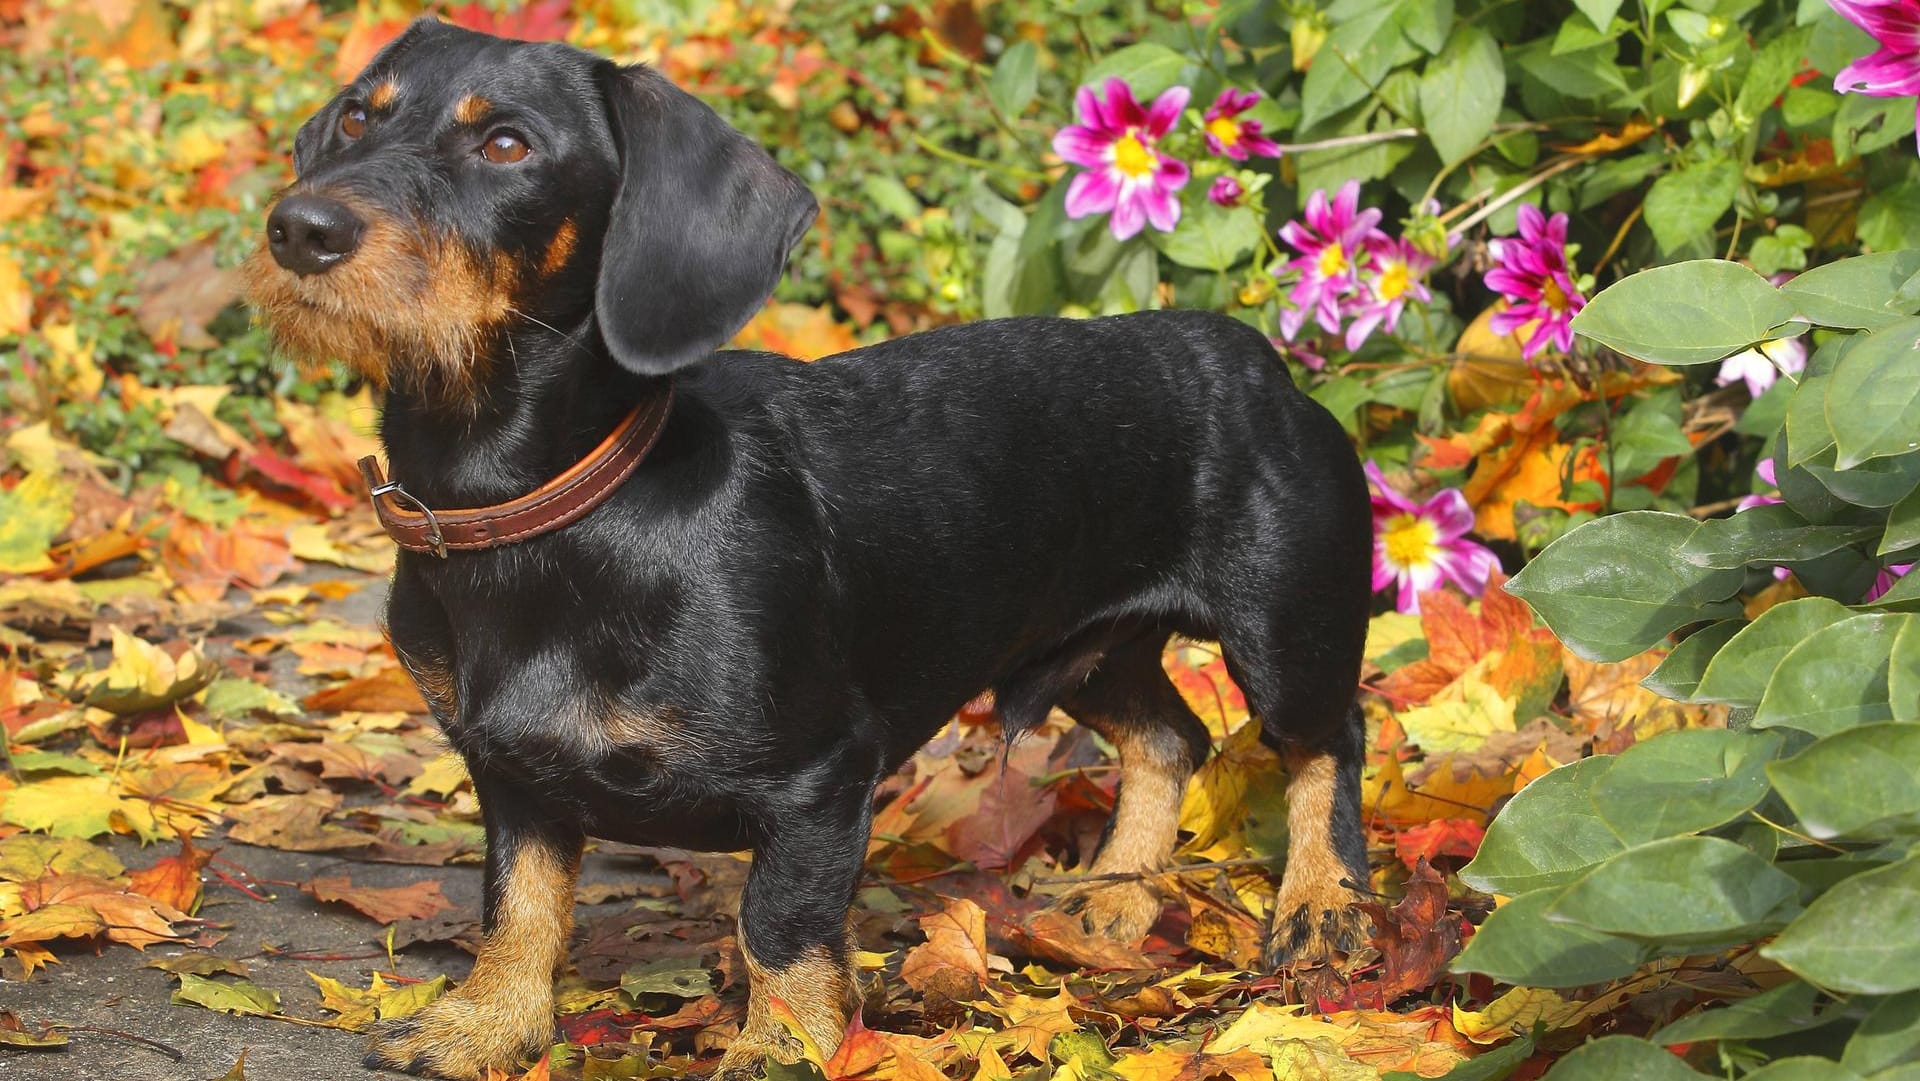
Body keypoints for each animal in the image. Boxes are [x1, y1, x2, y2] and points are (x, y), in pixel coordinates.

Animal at [247, 19, 1374, 1081]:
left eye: (507, 144)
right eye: (356, 117)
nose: (299, 229)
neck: (554, 510)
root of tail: (1247, 349)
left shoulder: (822, 777)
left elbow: (777, 929)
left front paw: (777, 1046)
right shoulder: (511, 774)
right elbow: (519, 905)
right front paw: (487, 1024)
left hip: (1289, 631)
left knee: (1328, 743)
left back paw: (1324, 909)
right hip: (1088, 650)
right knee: (1169, 737)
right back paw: (1117, 898)